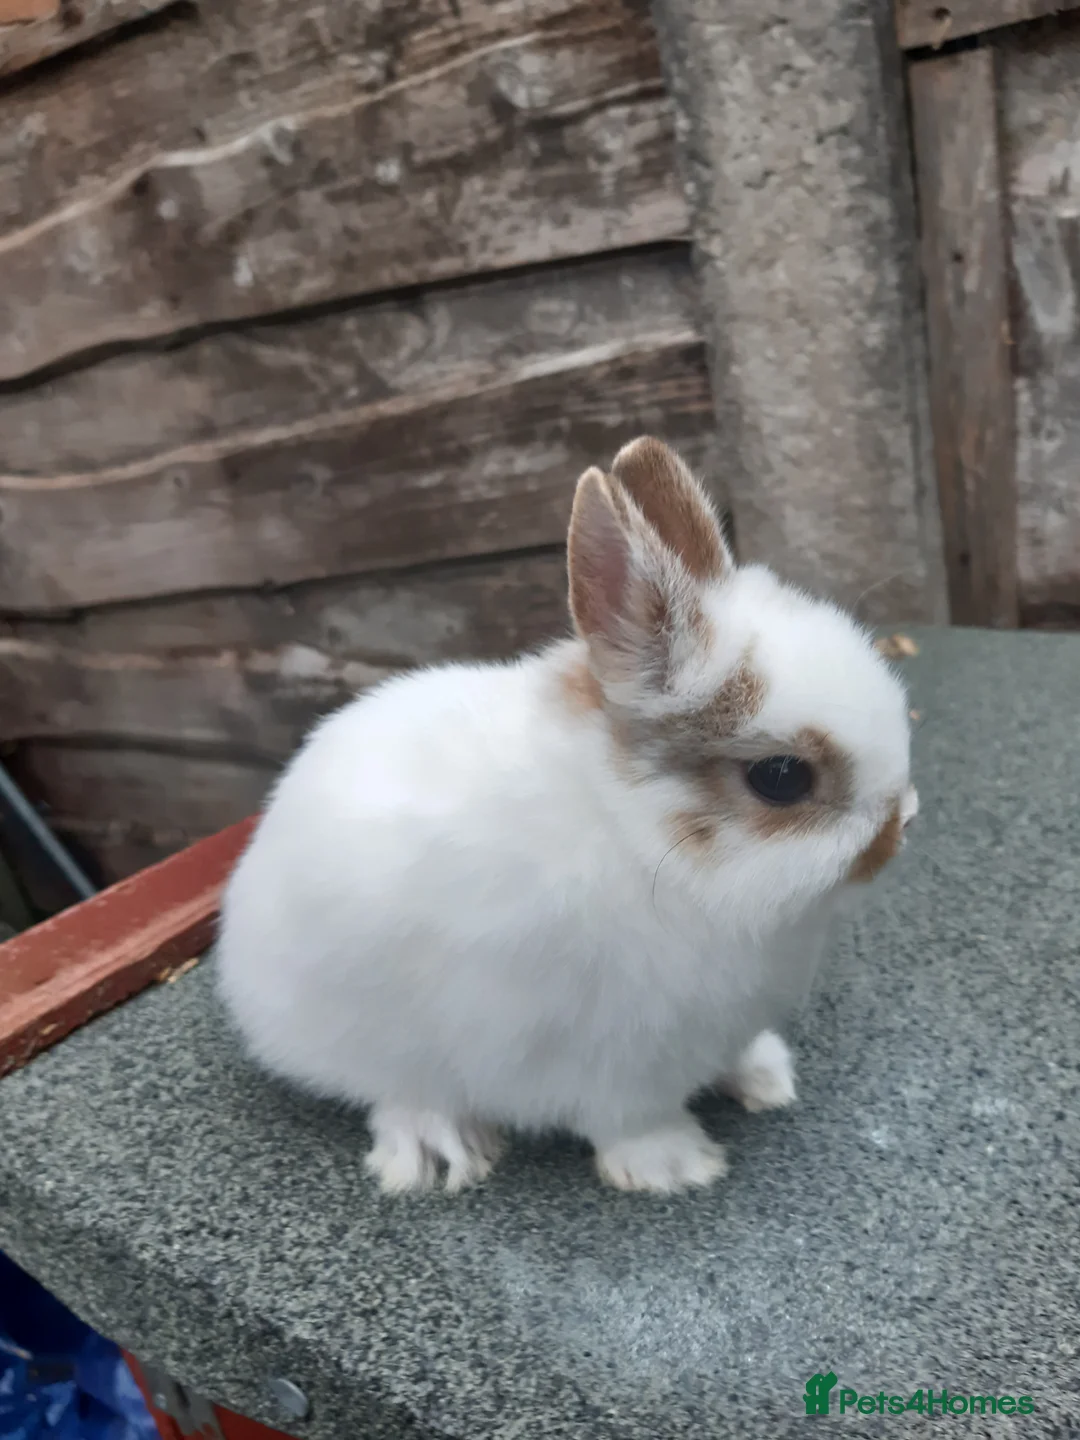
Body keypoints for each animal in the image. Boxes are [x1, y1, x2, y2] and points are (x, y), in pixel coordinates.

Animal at [217, 437, 918, 1194]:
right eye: (781, 778)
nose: (900, 827)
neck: (634, 832)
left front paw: (765, 1078)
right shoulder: (601, 1059)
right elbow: (629, 1120)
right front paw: (678, 1167)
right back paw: (436, 1147)